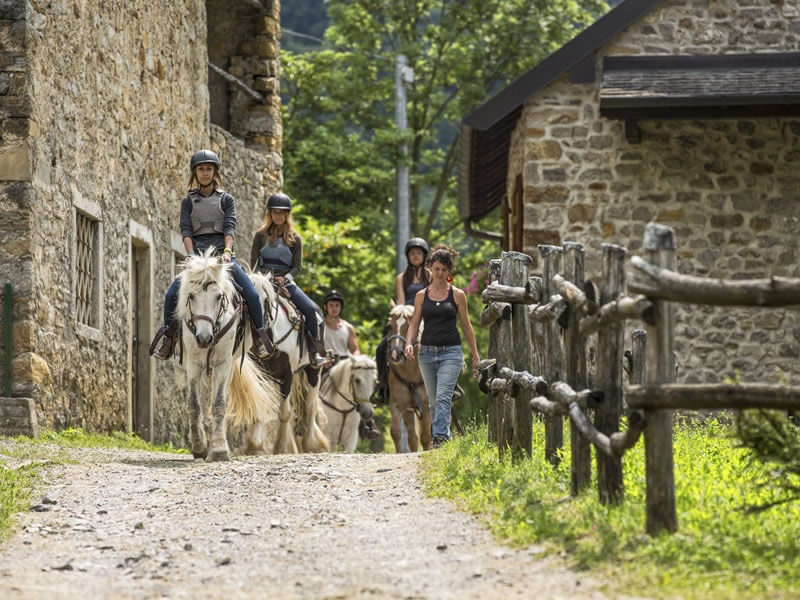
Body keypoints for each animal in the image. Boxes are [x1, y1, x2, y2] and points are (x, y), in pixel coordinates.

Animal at [175, 248, 282, 460]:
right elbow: (194, 404)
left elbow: (219, 403)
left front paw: (218, 449)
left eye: (218, 297)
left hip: (229, 364)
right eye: (190, 296)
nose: (204, 339)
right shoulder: (194, 363)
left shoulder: (223, 363)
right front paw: (199, 446)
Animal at [247, 270, 328, 452]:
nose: (257, 328)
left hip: (313, 372)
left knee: (310, 405)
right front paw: (254, 446)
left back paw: (311, 444)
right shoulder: (261, 376)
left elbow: (285, 414)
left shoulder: (287, 375)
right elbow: (259, 406)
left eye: (266, 300)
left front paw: (282, 448)